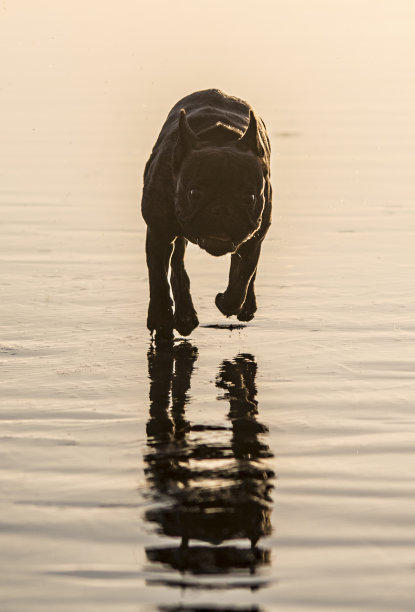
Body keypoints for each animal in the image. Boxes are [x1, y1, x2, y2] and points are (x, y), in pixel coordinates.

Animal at [142, 89, 272, 342]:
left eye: (249, 197)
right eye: (194, 193)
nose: (221, 209)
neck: (218, 138)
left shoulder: (255, 236)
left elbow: (243, 276)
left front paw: (228, 301)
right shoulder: (159, 233)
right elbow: (158, 278)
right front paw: (161, 319)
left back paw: (245, 307)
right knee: (177, 262)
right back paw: (184, 316)